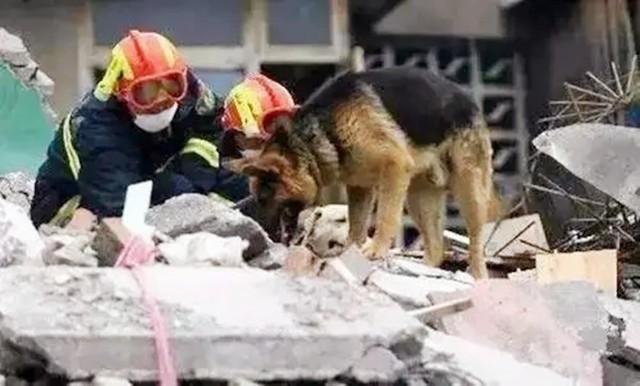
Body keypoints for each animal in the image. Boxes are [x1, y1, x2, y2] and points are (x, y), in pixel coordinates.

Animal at [228, 66, 502, 278]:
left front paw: (376, 250)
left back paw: (478, 277)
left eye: (265, 198)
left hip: (468, 190)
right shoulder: (359, 188)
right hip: (418, 198)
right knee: (435, 247)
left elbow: (385, 217)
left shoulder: (394, 168)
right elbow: (356, 226)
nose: (260, 233)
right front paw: (352, 252)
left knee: (476, 243)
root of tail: (469, 100)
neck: (321, 134)